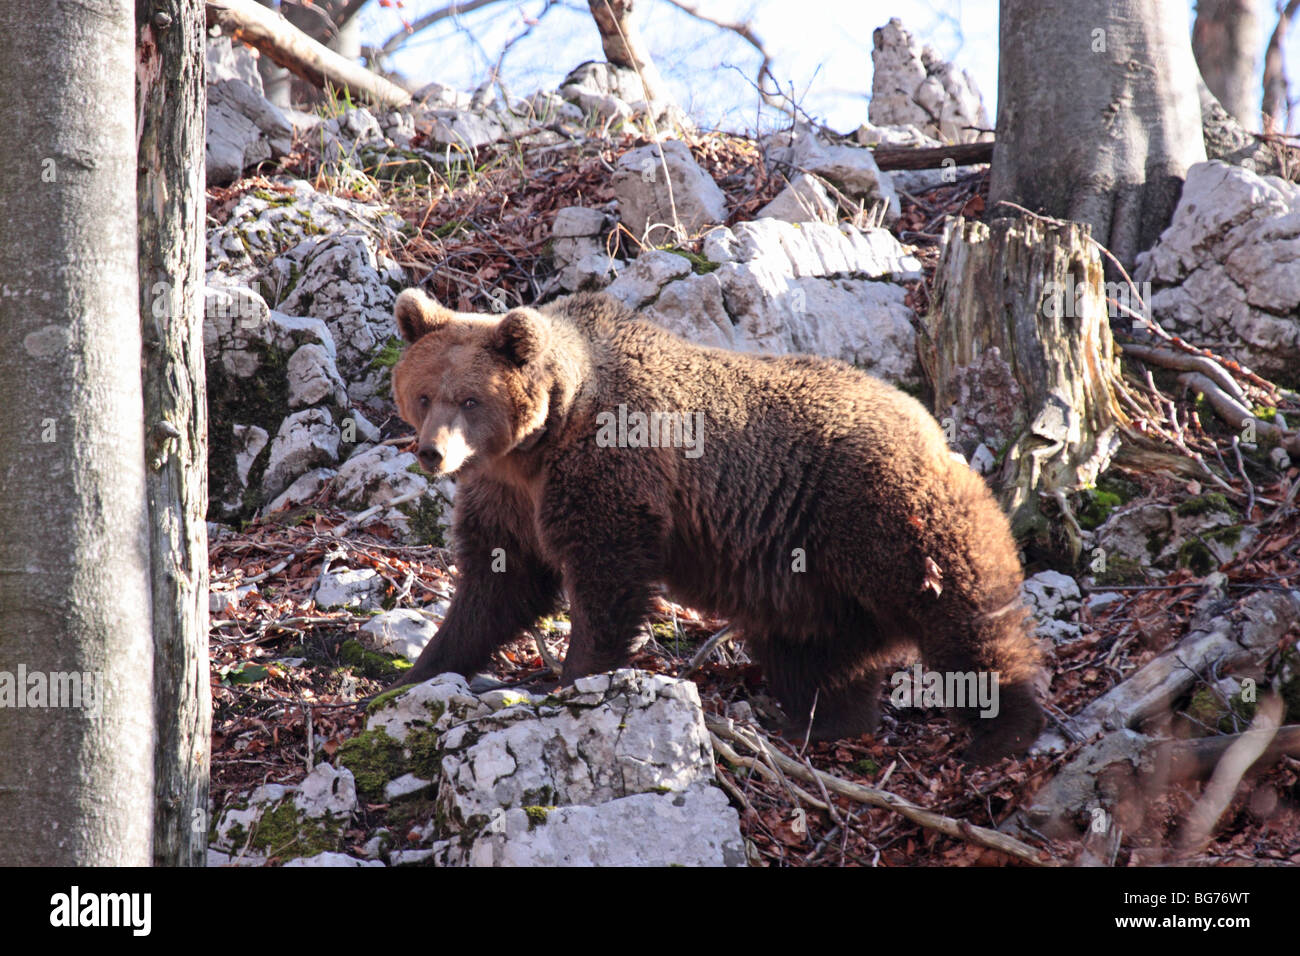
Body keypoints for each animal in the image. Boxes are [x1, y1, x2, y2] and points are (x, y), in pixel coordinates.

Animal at [384, 287, 1045, 764]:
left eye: (470, 400)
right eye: (425, 394)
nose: (433, 454)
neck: (539, 443)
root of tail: (926, 419)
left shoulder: (611, 469)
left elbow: (605, 577)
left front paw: (576, 679)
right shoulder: (508, 497)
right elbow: (497, 586)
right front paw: (419, 672)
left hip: (880, 512)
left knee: (961, 610)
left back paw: (1003, 730)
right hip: (804, 570)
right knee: (818, 652)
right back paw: (822, 723)